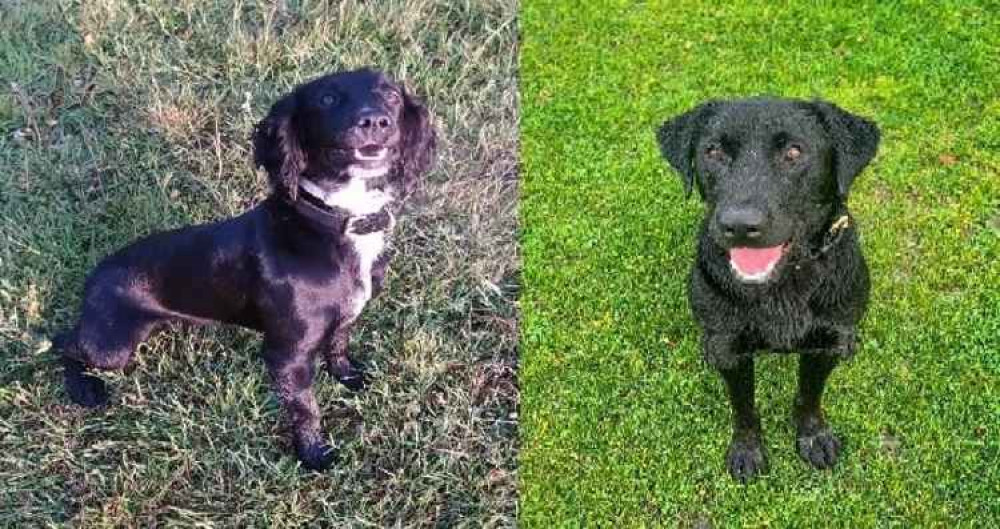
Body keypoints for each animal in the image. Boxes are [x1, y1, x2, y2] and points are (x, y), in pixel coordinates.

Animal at [54, 68, 436, 468]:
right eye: (327, 98)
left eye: (392, 96)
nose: (376, 120)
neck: (333, 220)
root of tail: (94, 277)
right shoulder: (287, 354)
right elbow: (305, 408)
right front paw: (314, 454)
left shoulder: (345, 317)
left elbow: (339, 345)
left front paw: (348, 377)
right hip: (112, 346)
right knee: (63, 343)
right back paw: (83, 387)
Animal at [660, 97, 880, 480]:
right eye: (713, 151)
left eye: (793, 151)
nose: (739, 225)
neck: (783, 284)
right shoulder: (730, 348)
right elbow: (744, 407)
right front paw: (747, 450)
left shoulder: (825, 342)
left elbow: (810, 395)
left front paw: (813, 435)